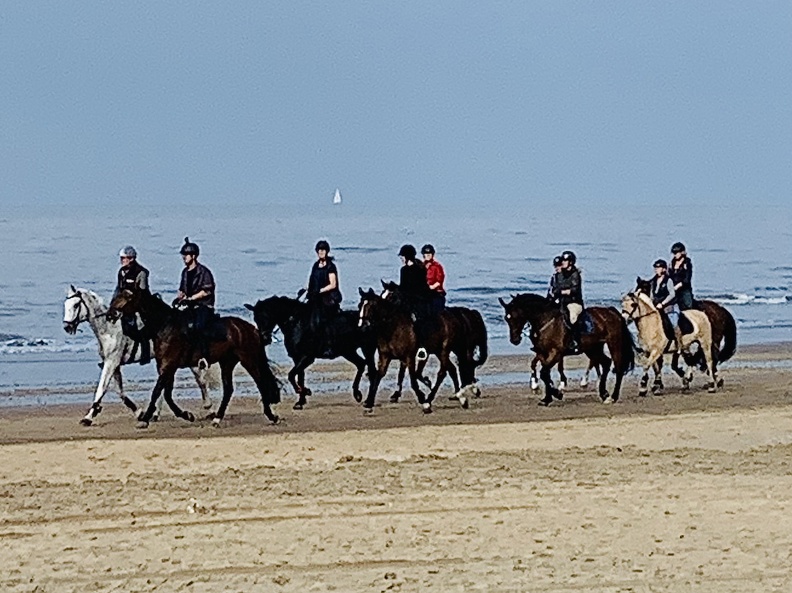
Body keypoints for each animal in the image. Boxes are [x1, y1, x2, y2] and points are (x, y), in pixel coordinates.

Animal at [62, 284, 218, 424]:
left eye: (76, 305)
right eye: (66, 304)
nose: (67, 326)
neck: (109, 329)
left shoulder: (111, 362)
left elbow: (101, 388)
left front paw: (88, 417)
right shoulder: (114, 365)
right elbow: (119, 391)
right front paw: (138, 412)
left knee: (201, 380)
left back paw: (209, 409)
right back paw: (156, 414)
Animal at [108, 286, 282, 426]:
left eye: (128, 296)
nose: (111, 313)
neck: (165, 326)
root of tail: (251, 328)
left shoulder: (168, 366)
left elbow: (157, 392)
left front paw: (145, 418)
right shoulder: (167, 368)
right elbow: (167, 394)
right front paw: (186, 415)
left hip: (248, 359)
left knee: (260, 383)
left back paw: (271, 416)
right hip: (227, 362)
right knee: (228, 389)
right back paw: (217, 418)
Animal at [243, 294, 376, 408]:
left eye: (266, 316)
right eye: (255, 318)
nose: (265, 339)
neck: (297, 324)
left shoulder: (307, 357)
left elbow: (291, 375)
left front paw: (304, 391)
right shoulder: (297, 358)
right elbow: (299, 376)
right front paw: (300, 401)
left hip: (366, 348)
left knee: (371, 369)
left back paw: (367, 400)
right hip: (348, 351)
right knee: (361, 364)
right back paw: (357, 394)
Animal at [498, 292, 636, 404]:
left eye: (516, 316)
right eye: (506, 318)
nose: (515, 340)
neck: (546, 320)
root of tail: (611, 311)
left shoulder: (556, 353)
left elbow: (544, 373)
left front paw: (556, 393)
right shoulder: (543, 353)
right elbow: (545, 374)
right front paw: (548, 398)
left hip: (614, 344)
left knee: (618, 368)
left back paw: (613, 396)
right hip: (592, 349)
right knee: (606, 363)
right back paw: (604, 394)